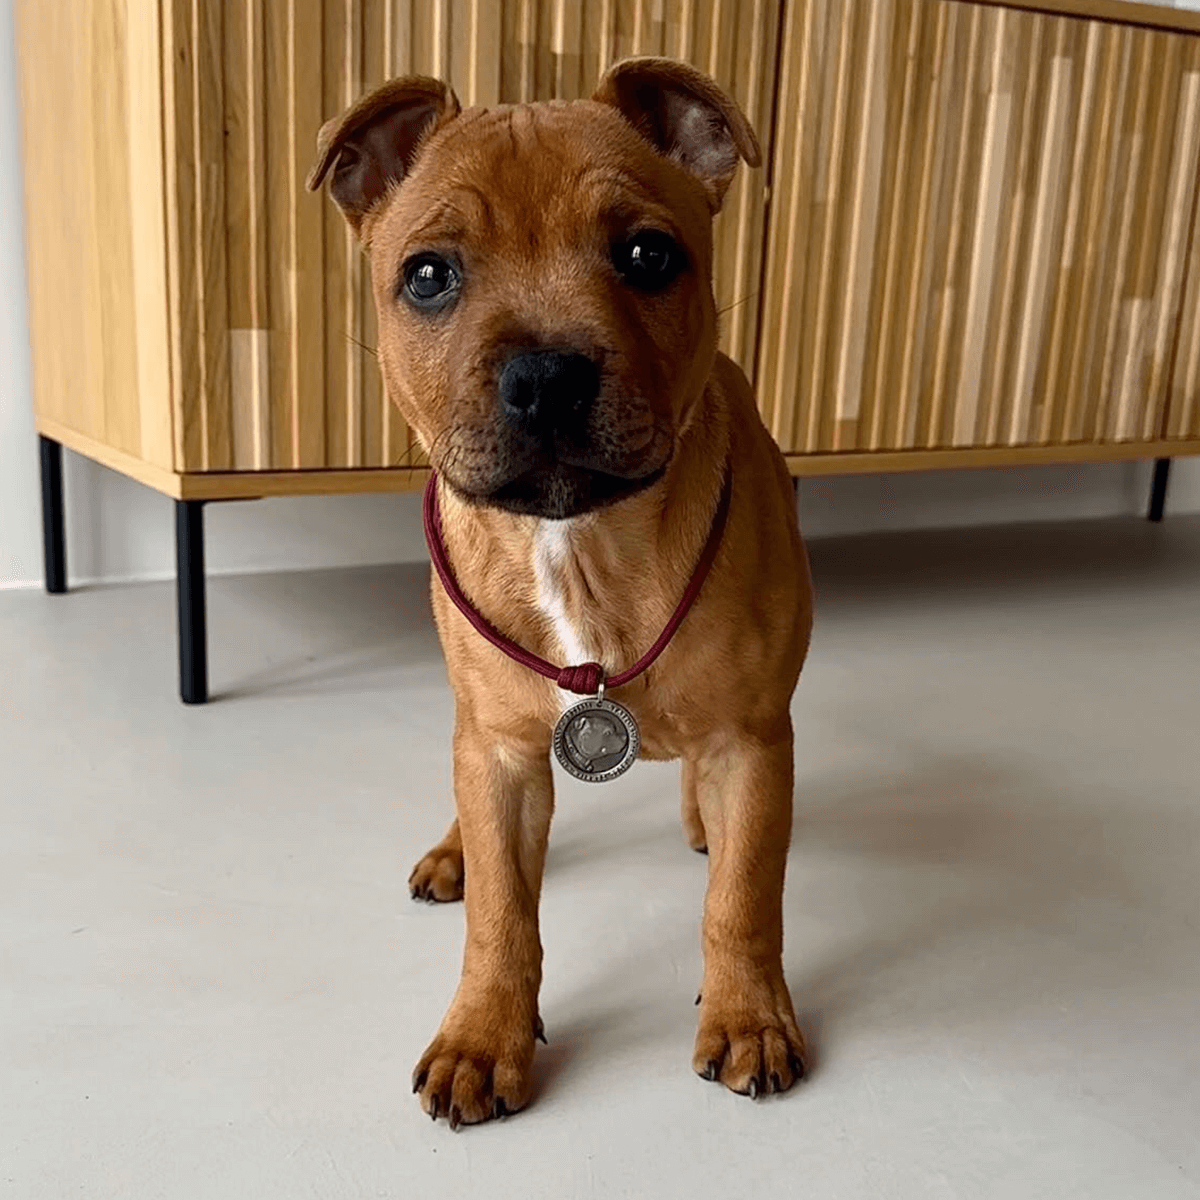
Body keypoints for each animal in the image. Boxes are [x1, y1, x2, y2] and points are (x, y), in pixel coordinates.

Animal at [309, 56, 816, 1123]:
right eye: (428, 275)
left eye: (648, 254)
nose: (546, 373)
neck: (577, 543)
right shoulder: (499, 752)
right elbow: (504, 913)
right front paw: (482, 1034)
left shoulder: (755, 741)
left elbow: (745, 896)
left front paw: (749, 1015)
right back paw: (455, 852)